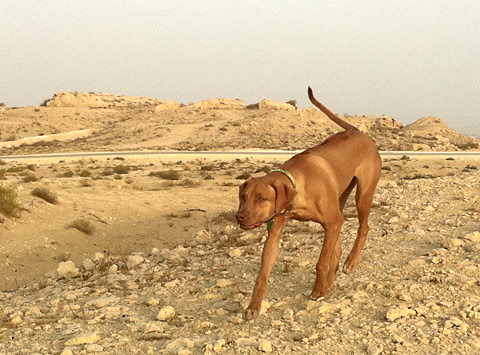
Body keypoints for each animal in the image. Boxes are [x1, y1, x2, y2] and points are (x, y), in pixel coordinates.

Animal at [237, 87, 382, 322]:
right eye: (243, 196)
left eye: (262, 198)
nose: (239, 216)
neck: (298, 187)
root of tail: (358, 132)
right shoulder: (276, 229)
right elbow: (262, 273)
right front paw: (253, 306)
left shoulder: (333, 222)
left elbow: (321, 262)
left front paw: (318, 290)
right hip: (340, 201)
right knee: (337, 247)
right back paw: (332, 280)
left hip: (363, 195)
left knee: (364, 227)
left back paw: (350, 263)